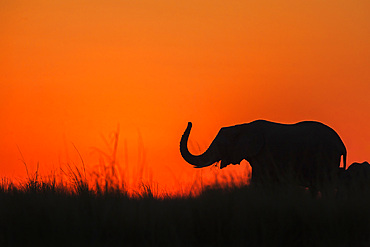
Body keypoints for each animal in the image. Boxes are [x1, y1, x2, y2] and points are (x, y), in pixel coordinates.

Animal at [180, 120, 346, 189]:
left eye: (221, 145)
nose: (190, 122)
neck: (244, 126)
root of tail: (341, 144)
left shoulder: (264, 154)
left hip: (326, 156)